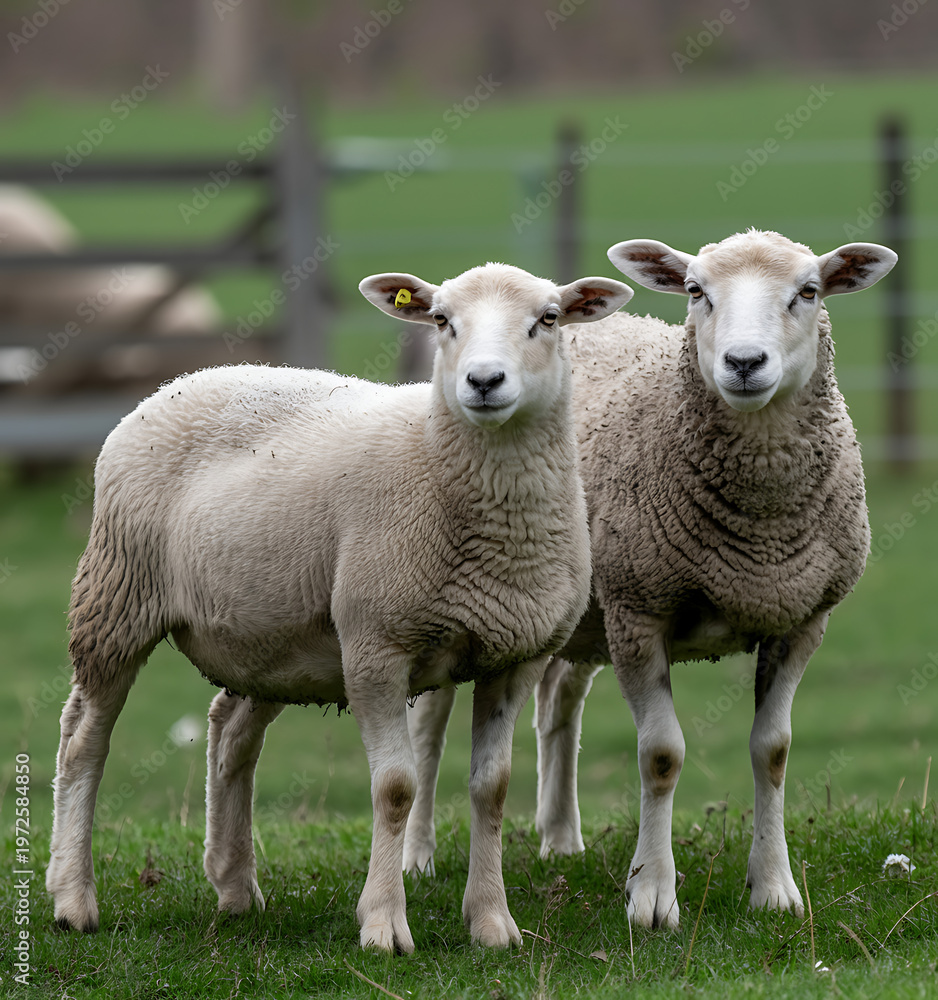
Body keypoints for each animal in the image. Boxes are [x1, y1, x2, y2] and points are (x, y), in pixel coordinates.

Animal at [46, 261, 633, 953]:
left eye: (548, 318)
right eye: (441, 319)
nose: (483, 382)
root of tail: (182, 380)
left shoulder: (514, 656)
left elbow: (492, 790)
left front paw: (492, 923)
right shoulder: (376, 646)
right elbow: (396, 788)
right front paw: (383, 924)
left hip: (268, 635)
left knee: (230, 732)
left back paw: (235, 888)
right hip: (117, 595)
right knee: (84, 738)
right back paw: (73, 897)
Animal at [401, 230, 897, 929]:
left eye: (809, 291)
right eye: (695, 291)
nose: (744, 363)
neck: (760, 533)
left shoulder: (801, 617)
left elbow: (772, 750)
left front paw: (774, 886)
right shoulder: (639, 613)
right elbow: (661, 755)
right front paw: (652, 896)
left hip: (582, 612)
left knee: (559, 704)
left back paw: (561, 838)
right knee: (429, 726)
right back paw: (416, 856)